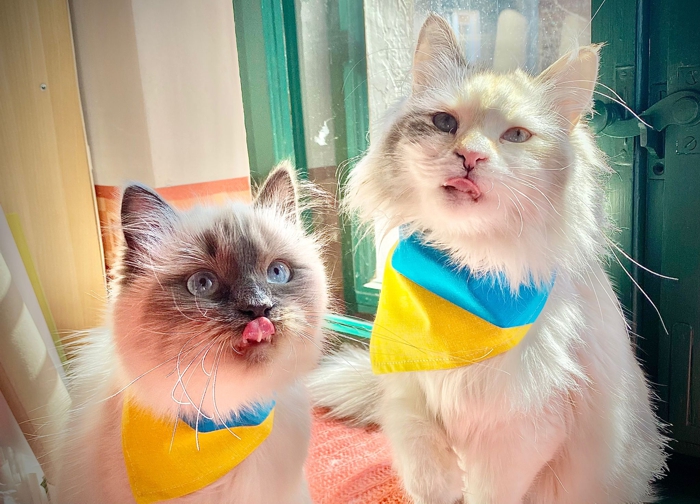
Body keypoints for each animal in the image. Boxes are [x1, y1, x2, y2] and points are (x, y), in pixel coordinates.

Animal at [308, 14, 667, 504]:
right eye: (444, 122)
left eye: (515, 136)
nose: (470, 156)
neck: (468, 267)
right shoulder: (405, 391)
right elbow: (423, 465)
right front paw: (441, 487)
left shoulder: (519, 431)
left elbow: (485, 492)